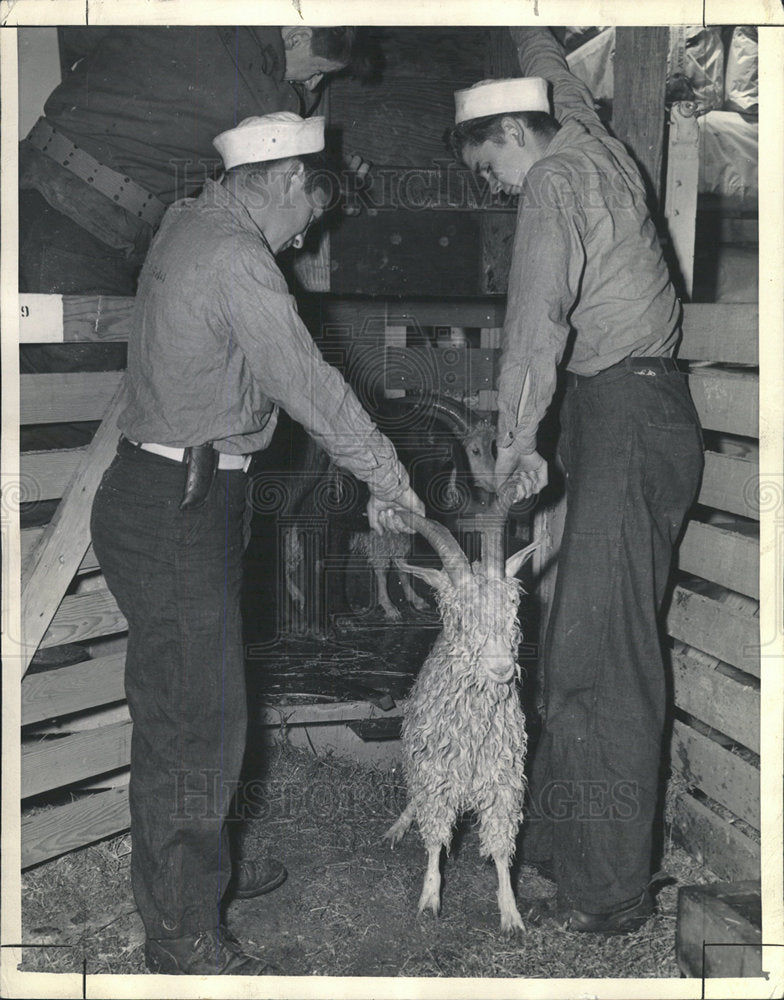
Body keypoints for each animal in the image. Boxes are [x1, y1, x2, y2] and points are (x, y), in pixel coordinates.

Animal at [384, 504, 540, 932]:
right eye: (460, 619)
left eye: (514, 610)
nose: (502, 668)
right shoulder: (436, 774)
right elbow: (436, 839)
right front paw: (430, 899)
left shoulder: (503, 777)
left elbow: (502, 846)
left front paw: (510, 912)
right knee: (414, 800)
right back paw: (397, 827)